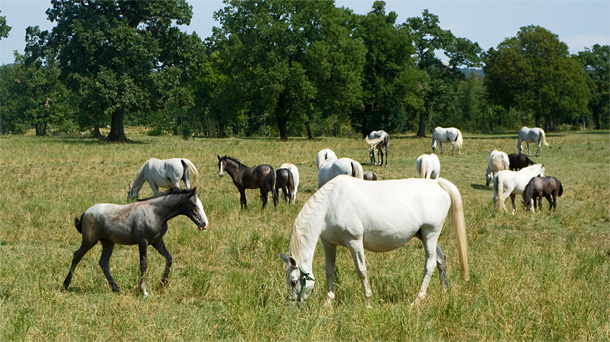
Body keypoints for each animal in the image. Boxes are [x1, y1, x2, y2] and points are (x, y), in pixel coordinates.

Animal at [278, 176, 468, 308]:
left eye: (293, 281)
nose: (292, 305)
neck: (330, 204)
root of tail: (436, 183)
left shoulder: (354, 241)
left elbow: (361, 271)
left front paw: (368, 302)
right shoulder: (328, 243)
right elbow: (329, 272)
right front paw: (328, 302)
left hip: (431, 234)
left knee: (430, 264)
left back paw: (417, 300)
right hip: (425, 236)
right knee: (441, 260)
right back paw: (444, 291)